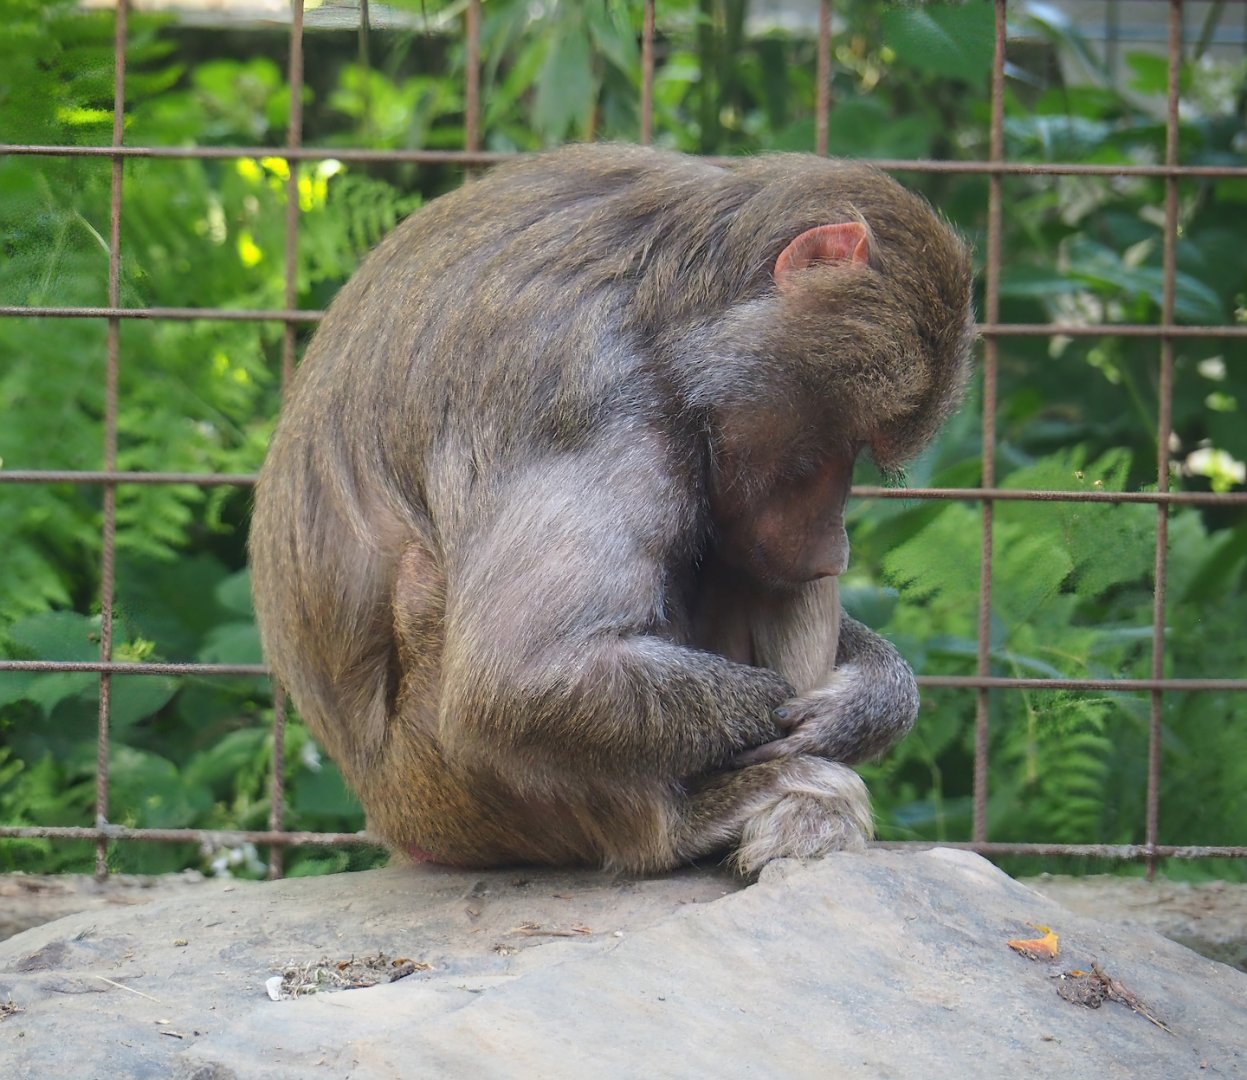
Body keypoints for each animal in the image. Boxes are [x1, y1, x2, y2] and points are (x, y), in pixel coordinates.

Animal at [249, 143, 974, 875]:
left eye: (862, 449)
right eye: (844, 442)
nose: (835, 547)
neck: (668, 304)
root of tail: (398, 824)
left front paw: (868, 701)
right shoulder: (599, 401)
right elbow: (518, 681)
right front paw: (780, 712)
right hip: (468, 803)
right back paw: (705, 822)